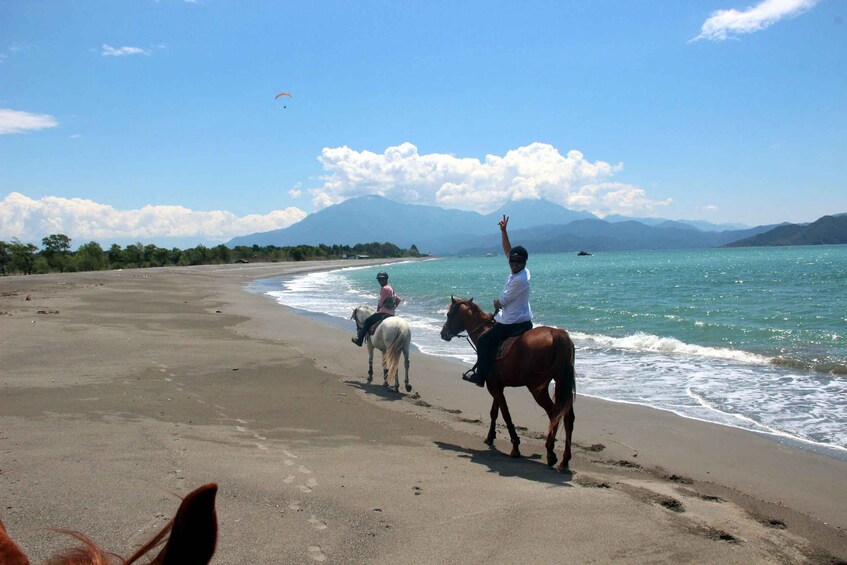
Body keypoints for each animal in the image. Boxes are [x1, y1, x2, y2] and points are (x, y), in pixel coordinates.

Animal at [444, 298, 576, 470]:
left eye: (448, 314)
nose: (443, 333)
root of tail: (556, 334)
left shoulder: (493, 386)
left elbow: (506, 414)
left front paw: (515, 446)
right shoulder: (497, 385)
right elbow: (494, 411)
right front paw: (490, 437)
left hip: (537, 389)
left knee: (554, 412)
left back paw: (550, 452)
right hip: (562, 383)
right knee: (568, 416)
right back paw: (565, 460)